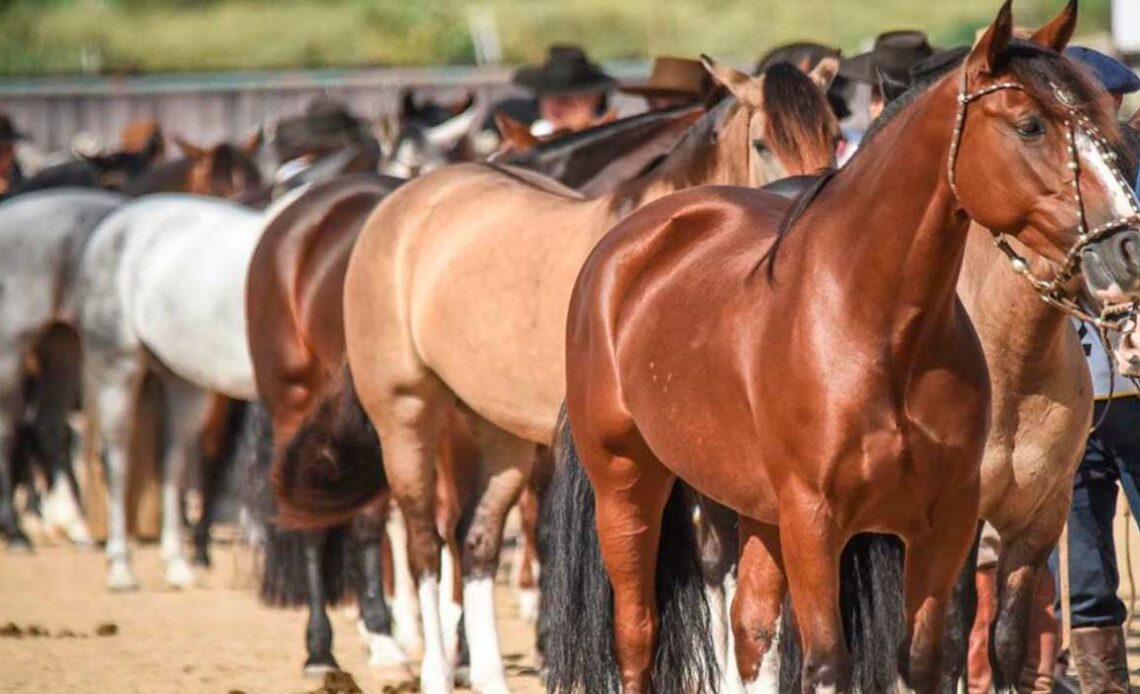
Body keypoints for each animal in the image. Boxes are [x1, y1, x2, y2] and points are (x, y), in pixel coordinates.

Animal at [326, 60, 834, 692]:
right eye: (764, 142)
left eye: (834, 130)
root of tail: (404, 201)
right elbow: (714, 566)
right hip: (406, 415)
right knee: (423, 542)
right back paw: (432, 668)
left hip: (499, 433)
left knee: (475, 542)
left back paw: (488, 675)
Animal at [542, 2, 1140, 688]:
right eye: (1030, 125)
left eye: (1108, 127)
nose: (1129, 248)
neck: (876, 328)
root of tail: (627, 243)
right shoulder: (816, 525)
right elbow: (829, 662)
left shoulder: (949, 524)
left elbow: (928, 658)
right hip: (629, 487)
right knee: (639, 634)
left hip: (756, 511)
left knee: (751, 628)